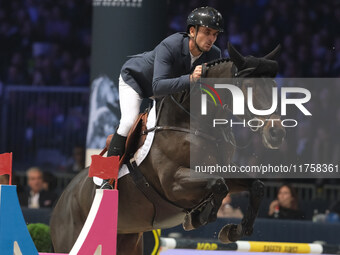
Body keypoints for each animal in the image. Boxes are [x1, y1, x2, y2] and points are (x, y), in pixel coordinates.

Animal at [49, 42, 284, 254]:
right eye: (249, 88)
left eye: (274, 88)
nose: (276, 133)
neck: (195, 124)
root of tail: (62, 199)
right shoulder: (173, 182)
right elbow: (218, 184)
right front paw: (198, 218)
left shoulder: (221, 170)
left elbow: (256, 187)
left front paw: (233, 231)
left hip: (127, 239)